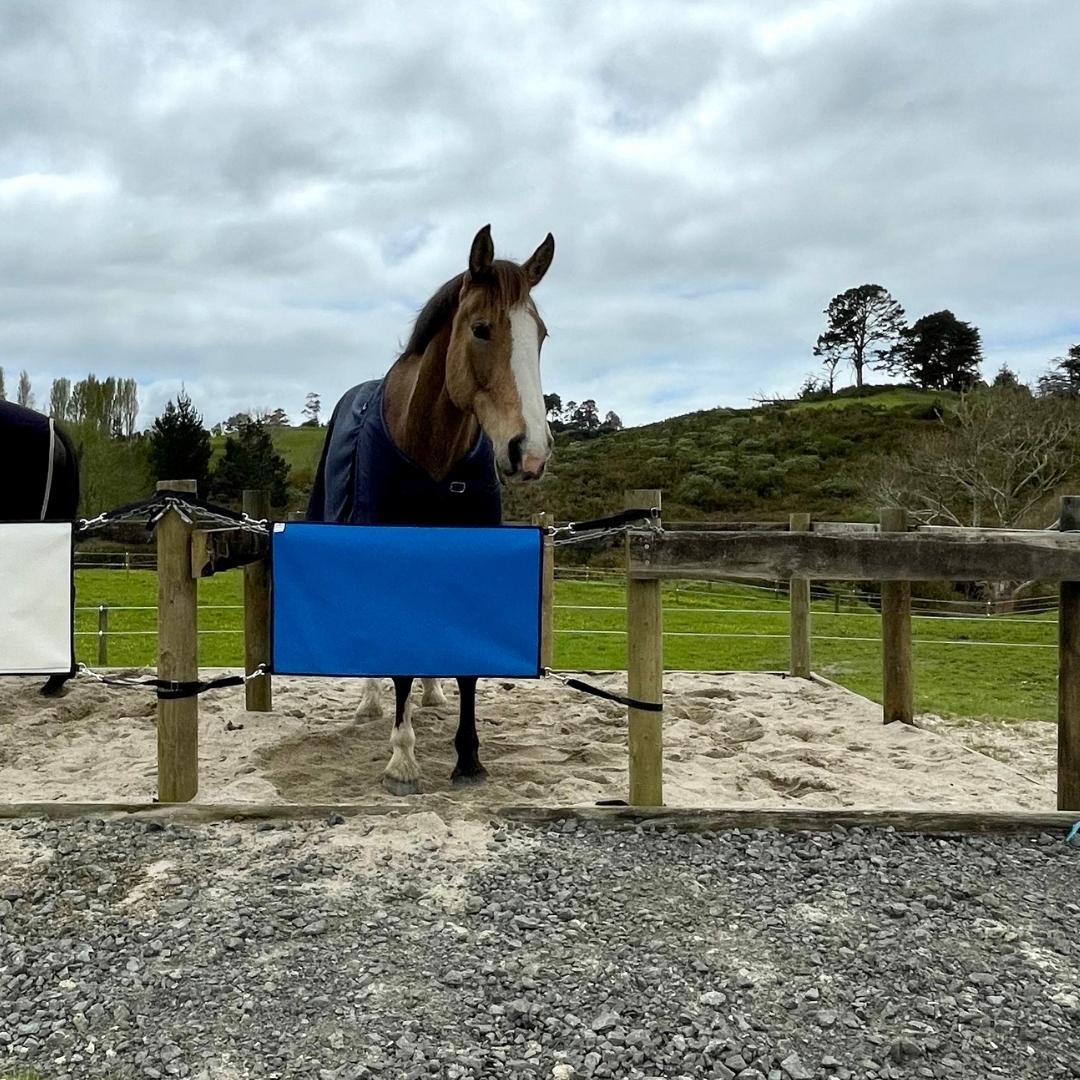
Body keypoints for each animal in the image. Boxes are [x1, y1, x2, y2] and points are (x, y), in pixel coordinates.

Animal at [306, 225, 552, 794]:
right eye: (481, 330)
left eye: (541, 336)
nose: (530, 452)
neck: (431, 453)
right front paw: (402, 761)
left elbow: (466, 660)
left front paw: (469, 759)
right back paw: (371, 704)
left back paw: (433, 692)